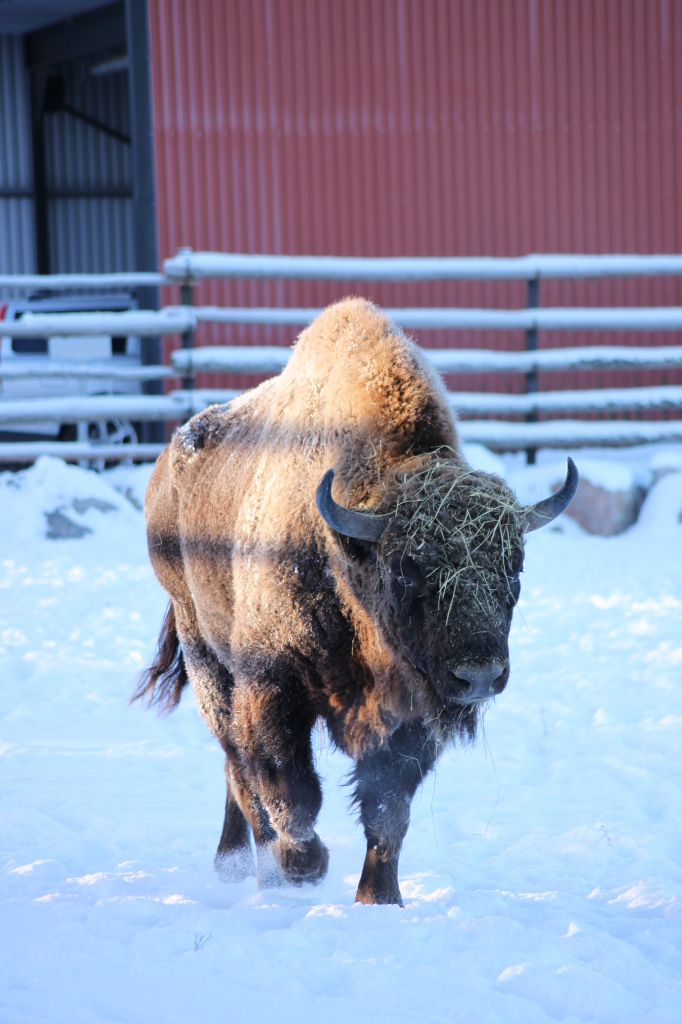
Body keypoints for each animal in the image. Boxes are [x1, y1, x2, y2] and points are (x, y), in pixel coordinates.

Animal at [137, 298, 577, 905]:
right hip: (206, 654)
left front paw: (380, 898)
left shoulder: (413, 712)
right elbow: (291, 788)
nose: (480, 676)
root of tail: (167, 467)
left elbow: (388, 807)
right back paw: (253, 868)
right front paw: (305, 866)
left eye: (516, 568)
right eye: (407, 569)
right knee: (239, 767)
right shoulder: (271, 684)